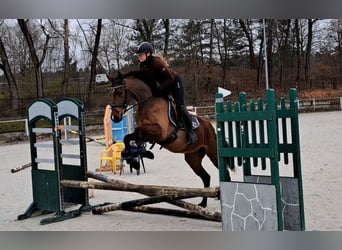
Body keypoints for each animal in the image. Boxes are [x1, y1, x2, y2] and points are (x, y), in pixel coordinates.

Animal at [109, 71, 232, 207]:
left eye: (120, 93)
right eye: (111, 93)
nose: (115, 117)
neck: (147, 103)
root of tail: (210, 126)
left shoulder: (159, 132)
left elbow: (135, 133)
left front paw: (134, 160)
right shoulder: (145, 134)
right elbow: (129, 137)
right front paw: (132, 158)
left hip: (213, 153)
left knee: (224, 173)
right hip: (193, 158)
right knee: (206, 177)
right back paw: (203, 203)